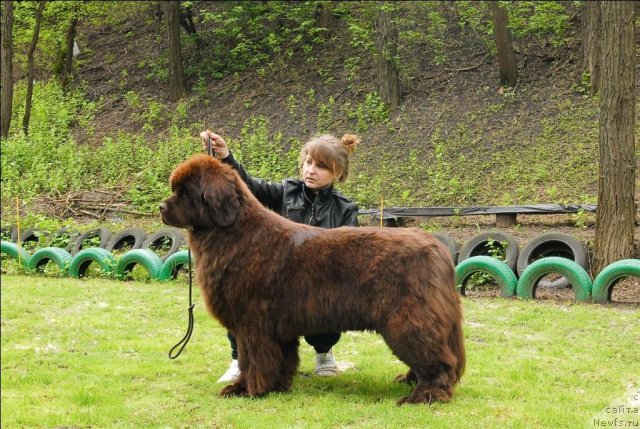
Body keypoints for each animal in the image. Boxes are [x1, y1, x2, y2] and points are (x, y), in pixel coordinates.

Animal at [158, 155, 462, 404]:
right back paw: (409, 380)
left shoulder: (253, 322)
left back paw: (425, 395)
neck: (234, 232)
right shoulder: (275, 326)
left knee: (439, 358)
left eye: (185, 192)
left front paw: (246, 389)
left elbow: (252, 359)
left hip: (407, 318)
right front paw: (276, 386)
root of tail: (438, 248)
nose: (161, 207)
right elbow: (279, 359)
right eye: (175, 189)